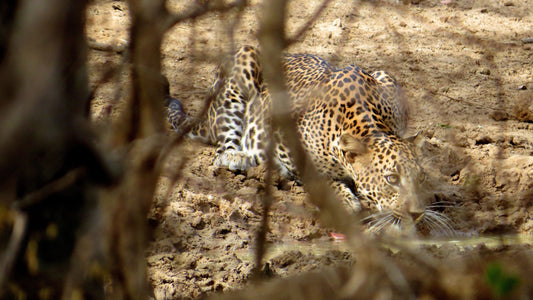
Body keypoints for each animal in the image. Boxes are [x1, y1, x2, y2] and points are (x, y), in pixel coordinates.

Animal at [166, 45, 448, 236]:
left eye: (421, 177)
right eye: (391, 179)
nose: (417, 213)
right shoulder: (284, 139)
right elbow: (320, 177)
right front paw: (346, 200)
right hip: (242, 63)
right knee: (221, 152)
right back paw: (240, 157)